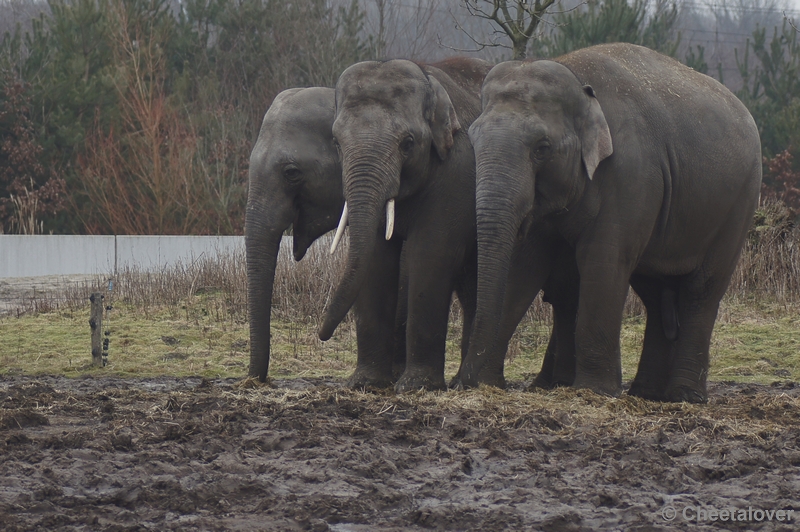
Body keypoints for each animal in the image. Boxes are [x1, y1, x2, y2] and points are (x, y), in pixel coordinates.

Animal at [460, 44, 760, 404]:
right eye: (473, 140)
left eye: (542, 148)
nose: (465, 380)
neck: (575, 76)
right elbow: (523, 266)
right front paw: (488, 383)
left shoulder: (629, 174)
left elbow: (603, 260)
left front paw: (595, 391)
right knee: (656, 295)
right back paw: (646, 394)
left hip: (738, 205)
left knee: (701, 291)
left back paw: (684, 396)